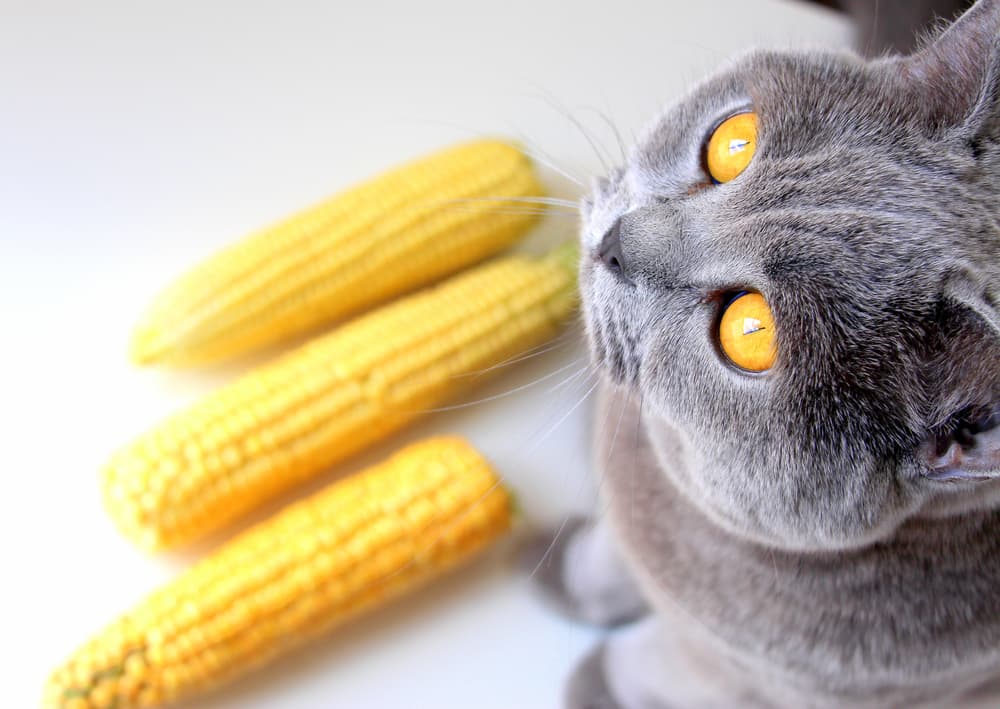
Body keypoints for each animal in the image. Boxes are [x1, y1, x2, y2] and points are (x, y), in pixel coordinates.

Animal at [536, 1, 1000, 708]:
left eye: (750, 331)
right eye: (735, 143)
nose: (615, 243)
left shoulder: (737, 678)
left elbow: (651, 668)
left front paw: (590, 685)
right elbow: (608, 559)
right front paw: (560, 573)